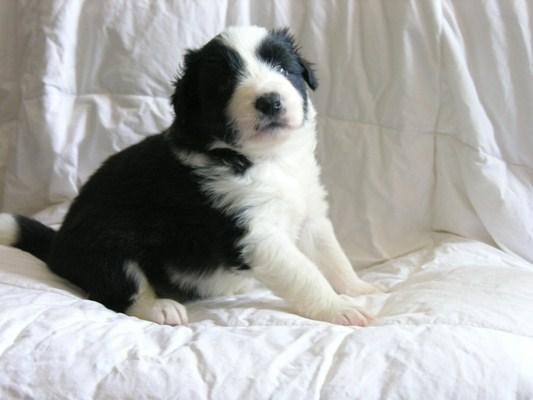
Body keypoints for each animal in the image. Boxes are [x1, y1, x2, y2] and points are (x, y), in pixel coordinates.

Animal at [0, 25, 382, 324]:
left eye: (282, 68)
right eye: (225, 84)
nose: (270, 101)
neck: (267, 160)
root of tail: (57, 246)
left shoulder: (310, 210)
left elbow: (332, 257)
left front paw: (362, 288)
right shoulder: (254, 235)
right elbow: (306, 273)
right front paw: (338, 309)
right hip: (104, 244)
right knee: (120, 288)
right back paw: (161, 308)